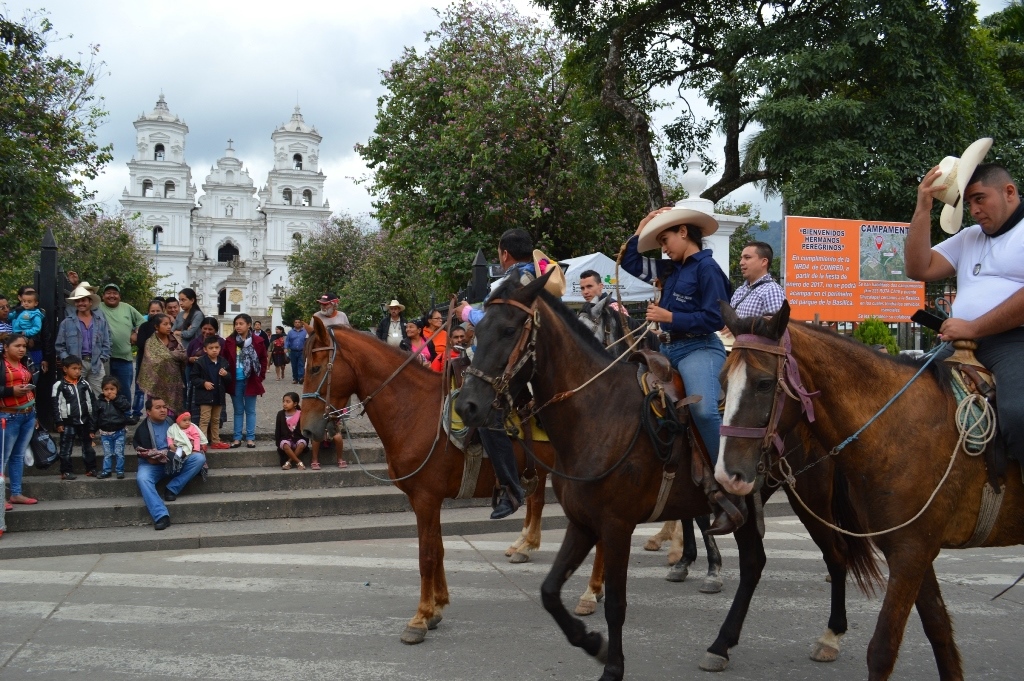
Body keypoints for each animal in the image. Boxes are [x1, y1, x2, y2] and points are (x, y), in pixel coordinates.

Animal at [299, 319, 606, 643]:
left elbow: (427, 555)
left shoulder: (425, 499)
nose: (306, 430)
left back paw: (590, 592)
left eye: (316, 368)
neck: (414, 409)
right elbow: (439, 549)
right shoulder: (426, 500)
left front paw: (420, 618)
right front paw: (438, 607)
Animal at [456, 272, 880, 679]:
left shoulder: (616, 526)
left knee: (836, 555)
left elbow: (617, 604)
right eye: (478, 330)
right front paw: (591, 641)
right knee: (755, 564)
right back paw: (721, 645)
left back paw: (831, 635)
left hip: (810, 496)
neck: (597, 412)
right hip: (749, 507)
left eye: (509, 330)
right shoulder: (582, 522)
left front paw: (612, 664)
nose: (467, 405)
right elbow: (548, 591)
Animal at [716, 303, 1024, 679]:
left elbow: (882, 649)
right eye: (722, 381)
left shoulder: (910, 553)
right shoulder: (912, 549)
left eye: (763, 383)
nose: (727, 474)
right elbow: (939, 631)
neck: (898, 428)